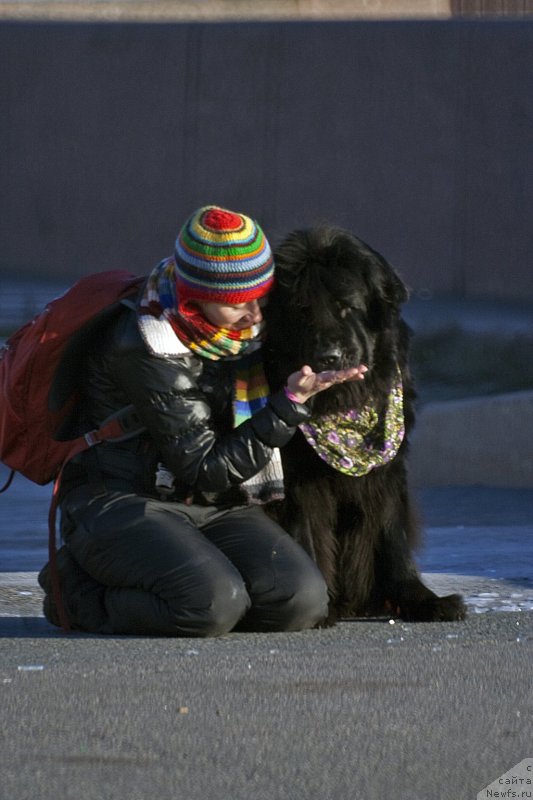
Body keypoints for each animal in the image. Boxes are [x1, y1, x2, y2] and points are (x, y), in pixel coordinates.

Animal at [264, 227, 464, 624]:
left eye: (347, 307)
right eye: (302, 311)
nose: (328, 357)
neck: (343, 407)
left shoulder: (387, 468)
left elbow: (391, 534)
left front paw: (423, 600)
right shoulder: (295, 475)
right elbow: (304, 530)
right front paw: (320, 604)